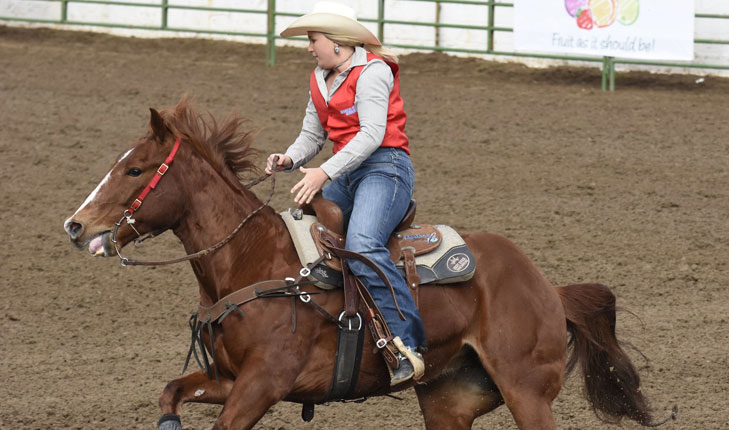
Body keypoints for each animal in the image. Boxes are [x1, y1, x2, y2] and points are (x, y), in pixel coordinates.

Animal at [65, 99, 660, 428]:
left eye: (136, 170)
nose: (75, 225)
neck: (255, 261)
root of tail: (545, 286)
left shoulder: (262, 384)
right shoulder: (230, 378)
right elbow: (171, 391)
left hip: (526, 390)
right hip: (448, 399)